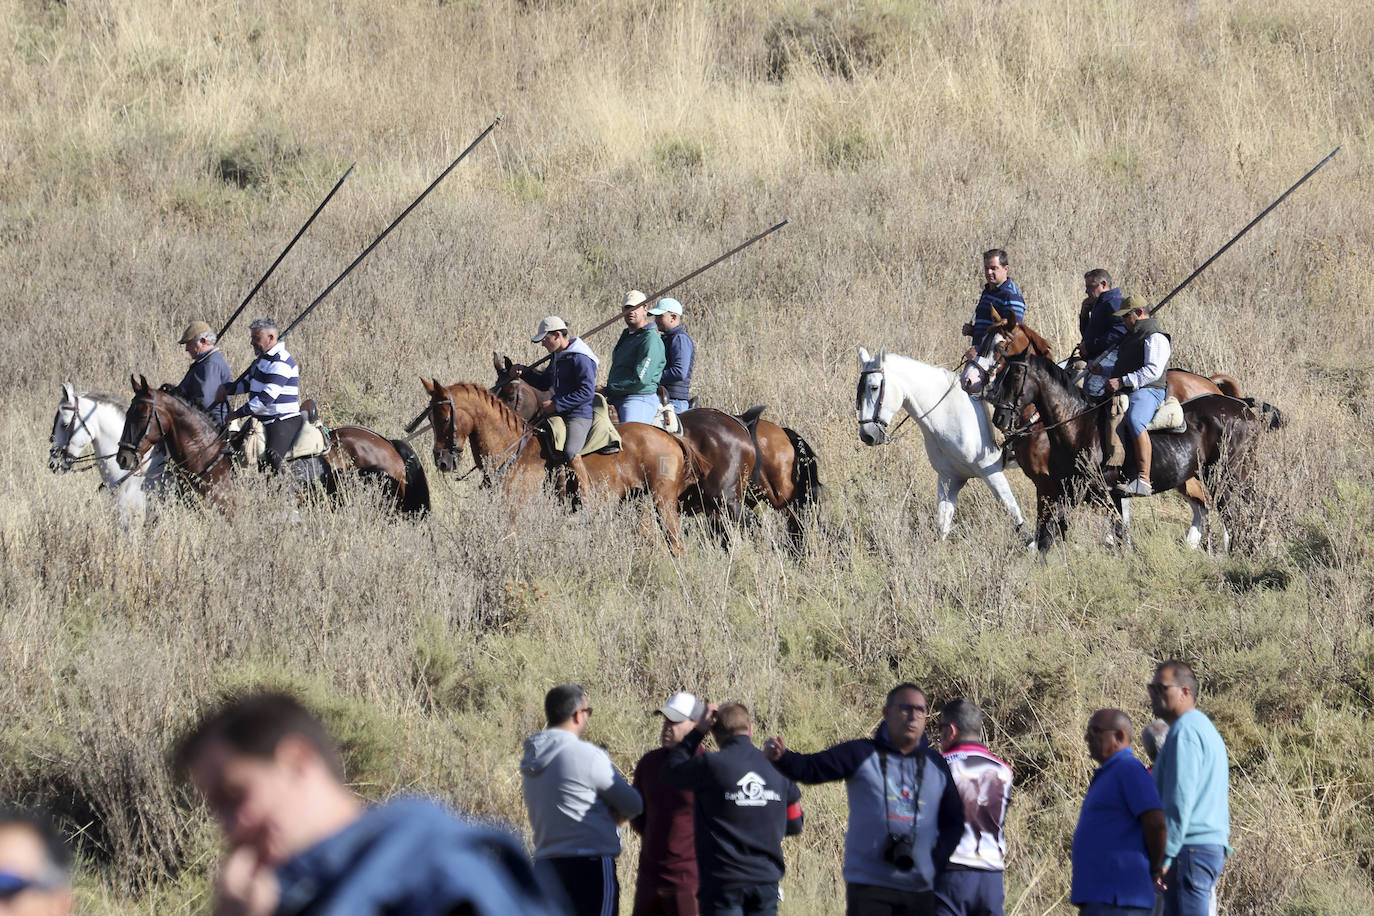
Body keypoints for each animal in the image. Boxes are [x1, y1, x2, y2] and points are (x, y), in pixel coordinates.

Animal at [417, 379, 703, 552]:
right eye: (430, 418)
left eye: (444, 418)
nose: (442, 460)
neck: (513, 447)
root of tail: (670, 436)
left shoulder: (515, 511)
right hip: (638, 502)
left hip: (663, 503)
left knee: (676, 544)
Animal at [851, 347, 1027, 541]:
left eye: (874, 387)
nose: (867, 435)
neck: (948, 413)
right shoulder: (949, 479)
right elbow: (942, 527)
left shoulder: (992, 473)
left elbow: (1015, 517)